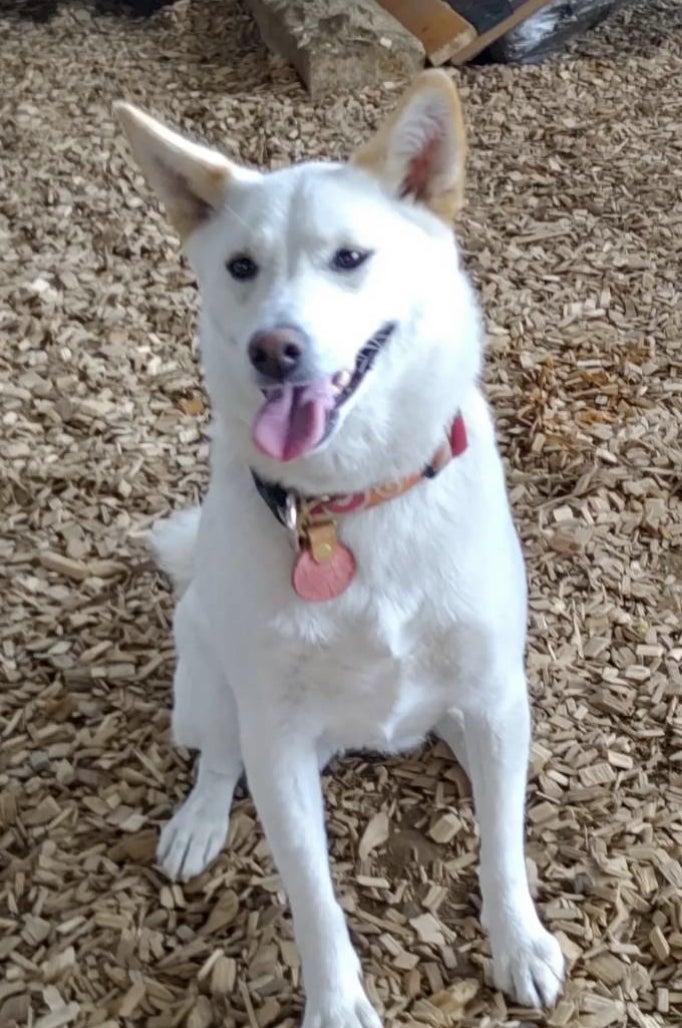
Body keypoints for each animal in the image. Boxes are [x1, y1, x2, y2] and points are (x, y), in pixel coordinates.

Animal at [115, 71, 565, 1026]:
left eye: (350, 259)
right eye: (241, 267)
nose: (273, 349)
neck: (350, 500)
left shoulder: (497, 698)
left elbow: (501, 845)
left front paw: (518, 940)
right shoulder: (280, 744)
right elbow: (314, 897)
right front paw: (336, 1001)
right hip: (209, 683)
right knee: (218, 756)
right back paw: (199, 820)